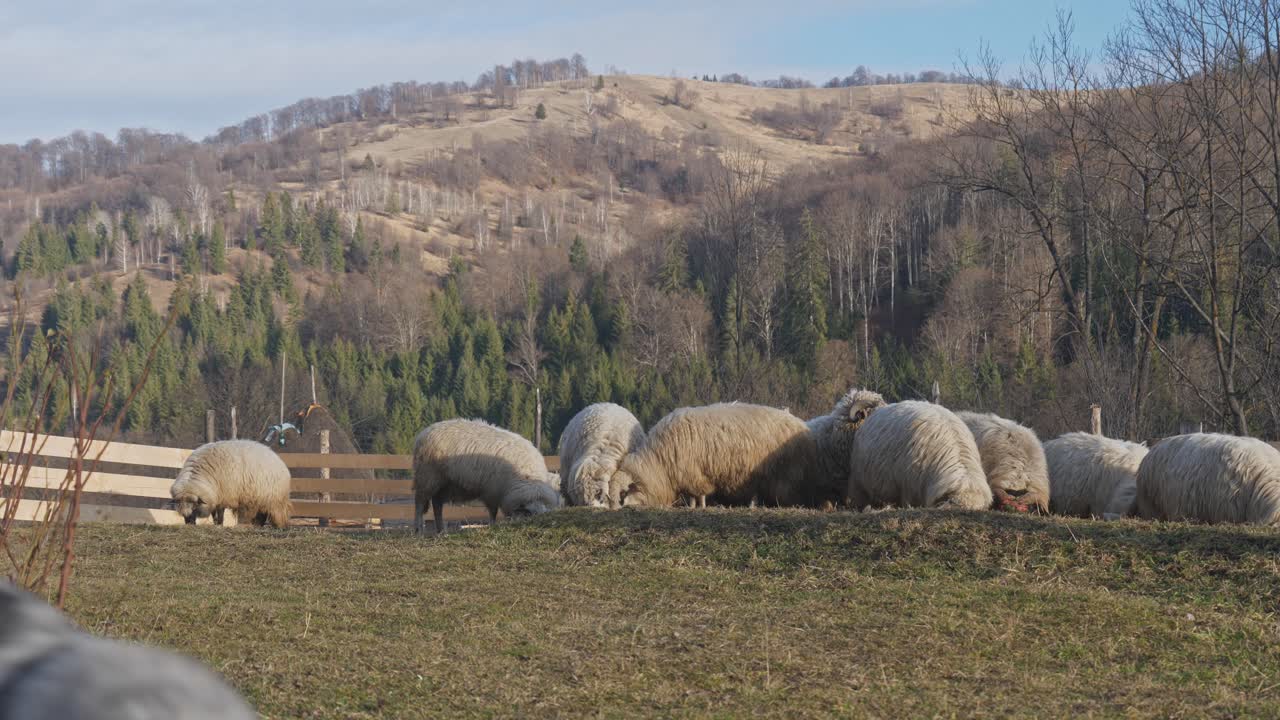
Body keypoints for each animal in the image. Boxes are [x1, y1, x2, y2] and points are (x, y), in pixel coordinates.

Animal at [413, 419, 562, 534]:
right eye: (529, 514)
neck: (526, 476)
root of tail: (424, 432)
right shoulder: (492, 491)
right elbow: (493, 512)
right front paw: (492, 526)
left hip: (444, 485)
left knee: (437, 505)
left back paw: (441, 531)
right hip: (426, 478)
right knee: (419, 505)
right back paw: (419, 531)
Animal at [609, 403, 824, 509]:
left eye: (625, 492)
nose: (620, 507)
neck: (657, 460)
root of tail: (802, 426)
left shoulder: (693, 473)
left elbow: (699, 493)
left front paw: (700, 506)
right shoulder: (686, 474)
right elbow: (692, 495)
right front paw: (693, 507)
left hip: (783, 472)